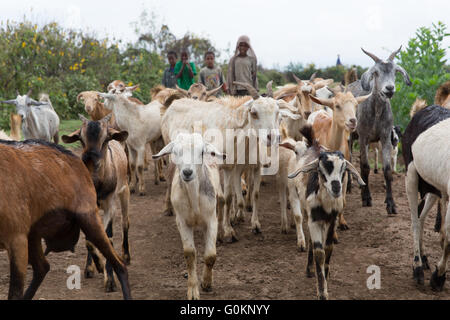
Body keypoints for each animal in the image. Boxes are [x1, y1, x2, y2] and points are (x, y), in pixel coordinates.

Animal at [153, 132, 225, 300]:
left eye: (201, 152)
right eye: (175, 152)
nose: (187, 172)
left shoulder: (211, 220)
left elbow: (210, 255)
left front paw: (206, 283)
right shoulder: (182, 221)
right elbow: (190, 254)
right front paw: (193, 291)